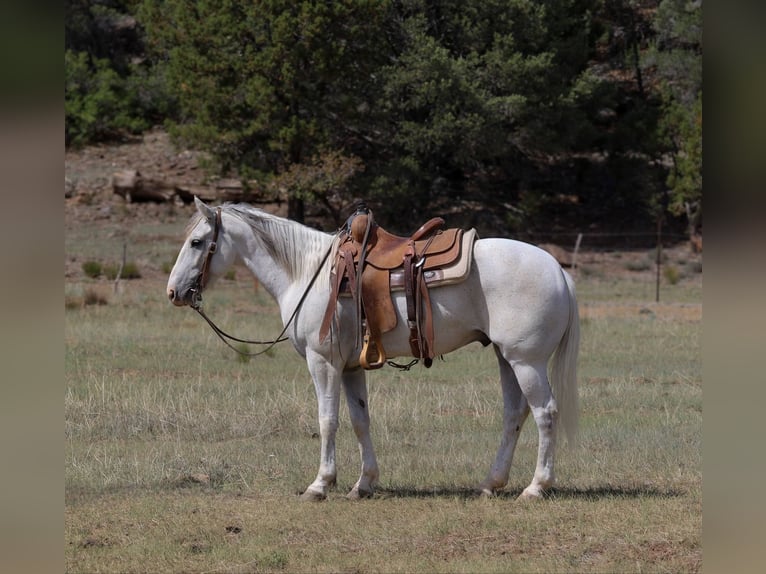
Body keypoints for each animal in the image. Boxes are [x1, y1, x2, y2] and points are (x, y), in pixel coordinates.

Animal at [167, 197, 580, 501]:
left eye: (196, 242)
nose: (173, 292)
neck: (308, 272)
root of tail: (559, 271)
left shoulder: (323, 363)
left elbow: (327, 420)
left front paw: (320, 484)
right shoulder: (350, 368)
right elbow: (359, 420)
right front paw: (363, 483)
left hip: (526, 361)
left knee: (545, 412)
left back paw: (536, 487)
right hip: (506, 358)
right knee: (514, 414)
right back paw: (490, 484)